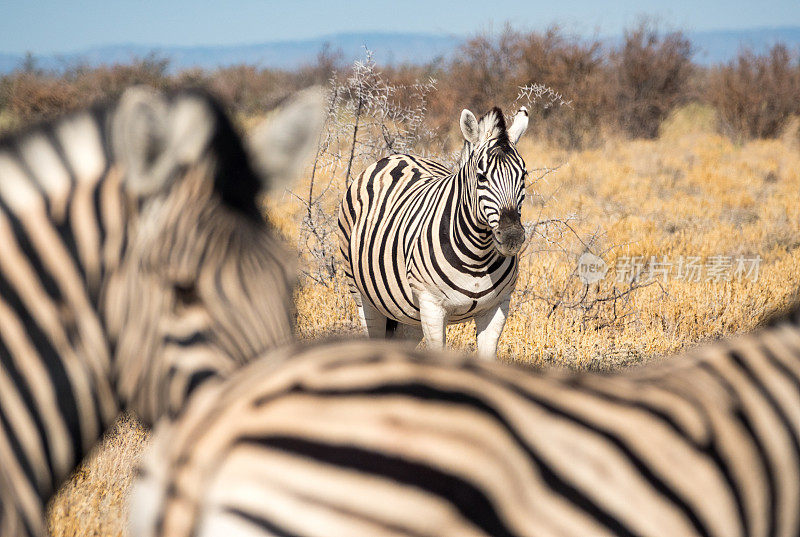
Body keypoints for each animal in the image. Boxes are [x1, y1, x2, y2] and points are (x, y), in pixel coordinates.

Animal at [340, 103, 532, 360]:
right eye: (481, 177)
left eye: (523, 175)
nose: (512, 237)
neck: (478, 254)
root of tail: (397, 156)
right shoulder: (432, 307)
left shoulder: (497, 307)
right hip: (363, 295)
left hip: (408, 313)